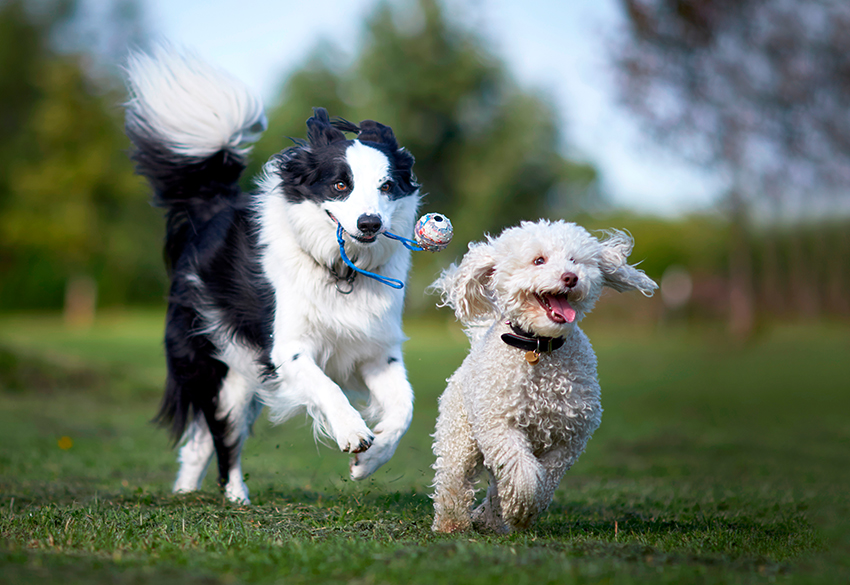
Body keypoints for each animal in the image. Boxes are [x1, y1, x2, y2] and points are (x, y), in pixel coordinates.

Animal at [123, 45, 420, 502]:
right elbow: (327, 386)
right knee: (222, 438)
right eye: (340, 185)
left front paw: (370, 460)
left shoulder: (376, 349)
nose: (370, 223)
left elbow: (406, 406)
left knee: (200, 441)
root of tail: (212, 206)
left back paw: (186, 493)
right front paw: (353, 431)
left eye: (387, 186)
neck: (341, 272)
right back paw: (236, 497)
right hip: (224, 368)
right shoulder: (287, 348)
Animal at [430, 220, 656, 532]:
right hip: (460, 436)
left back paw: (490, 518)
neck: (539, 346)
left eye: (574, 260)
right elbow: (523, 473)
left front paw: (520, 511)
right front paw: (522, 508)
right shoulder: (499, 426)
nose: (570, 277)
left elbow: (546, 476)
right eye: (539, 260)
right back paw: (452, 523)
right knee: (454, 479)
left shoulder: (570, 435)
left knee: (495, 486)